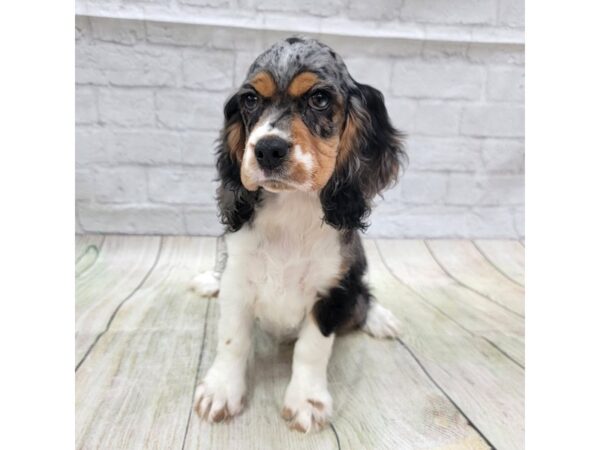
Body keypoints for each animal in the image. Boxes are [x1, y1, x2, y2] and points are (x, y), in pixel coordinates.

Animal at [192, 37, 408, 432]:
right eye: (250, 100)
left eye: (319, 98)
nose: (267, 149)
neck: (291, 210)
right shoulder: (238, 279)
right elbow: (232, 338)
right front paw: (220, 390)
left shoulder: (333, 288)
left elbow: (312, 348)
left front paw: (307, 401)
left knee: (363, 298)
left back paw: (379, 317)